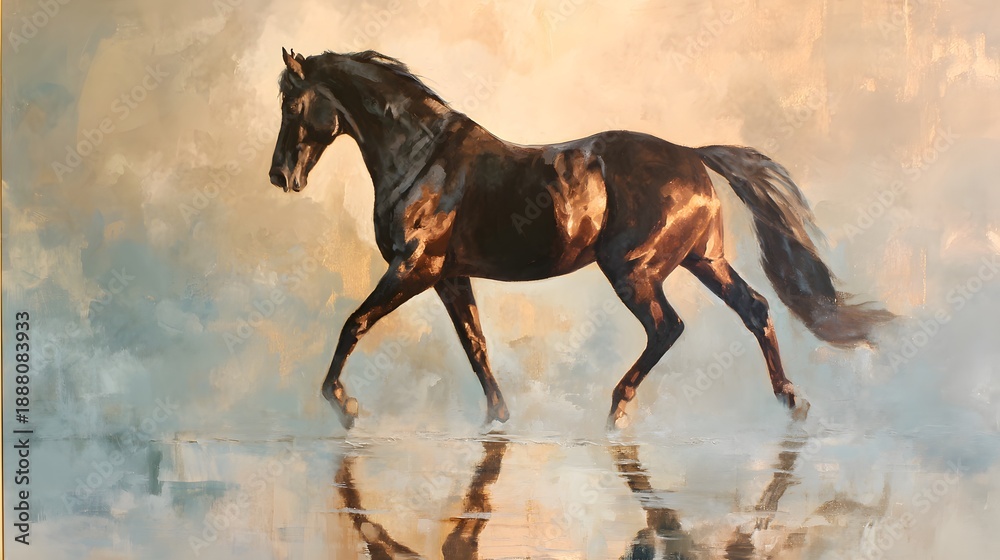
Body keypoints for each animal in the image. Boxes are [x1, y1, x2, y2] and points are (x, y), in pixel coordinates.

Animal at [268, 48, 891, 430]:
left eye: (293, 103)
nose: (280, 176)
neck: (426, 159)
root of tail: (691, 156)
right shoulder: (449, 277)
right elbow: (476, 345)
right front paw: (497, 418)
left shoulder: (413, 268)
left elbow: (353, 324)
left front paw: (343, 405)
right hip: (702, 260)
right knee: (755, 309)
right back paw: (792, 402)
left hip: (633, 271)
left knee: (668, 327)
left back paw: (617, 411)